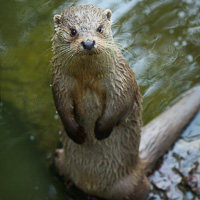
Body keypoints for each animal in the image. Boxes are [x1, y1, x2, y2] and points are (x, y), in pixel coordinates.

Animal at [51, 3, 200, 200]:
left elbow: (119, 106)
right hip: (60, 160)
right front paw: (77, 133)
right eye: (73, 31)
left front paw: (100, 131)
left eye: (100, 28)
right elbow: (62, 108)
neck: (88, 79)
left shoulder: (121, 81)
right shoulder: (59, 84)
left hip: (134, 184)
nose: (88, 43)